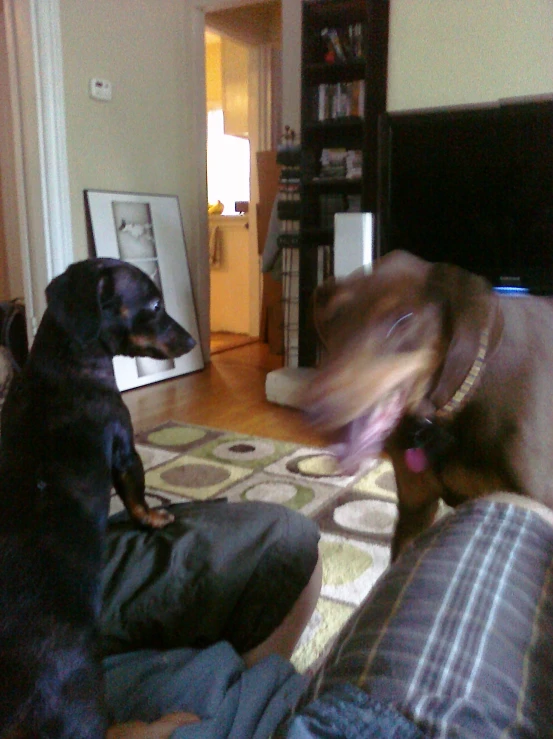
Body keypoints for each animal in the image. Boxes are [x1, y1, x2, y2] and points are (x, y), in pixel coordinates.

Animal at [0, 258, 197, 736]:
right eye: (154, 304)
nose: (192, 341)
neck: (65, 364)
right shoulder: (124, 451)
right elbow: (136, 496)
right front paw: (155, 518)